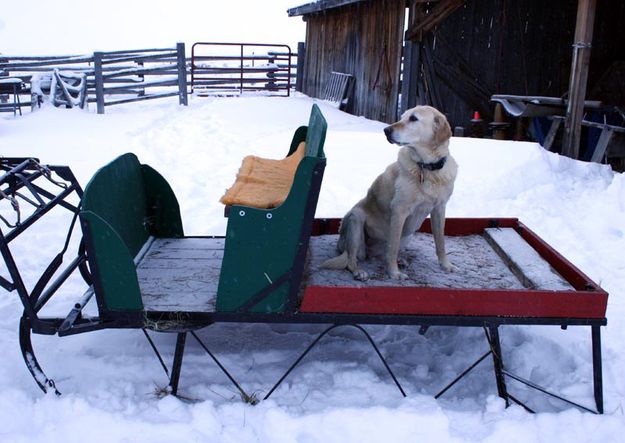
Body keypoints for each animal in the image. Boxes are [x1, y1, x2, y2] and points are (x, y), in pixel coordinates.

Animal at [320, 106, 456, 280]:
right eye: (402, 116)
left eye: (413, 118)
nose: (386, 130)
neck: (426, 168)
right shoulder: (399, 211)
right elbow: (393, 247)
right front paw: (394, 273)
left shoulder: (439, 209)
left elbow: (440, 242)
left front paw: (446, 265)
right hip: (355, 219)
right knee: (352, 258)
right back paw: (359, 271)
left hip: (408, 235)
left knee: (381, 254)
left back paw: (399, 260)